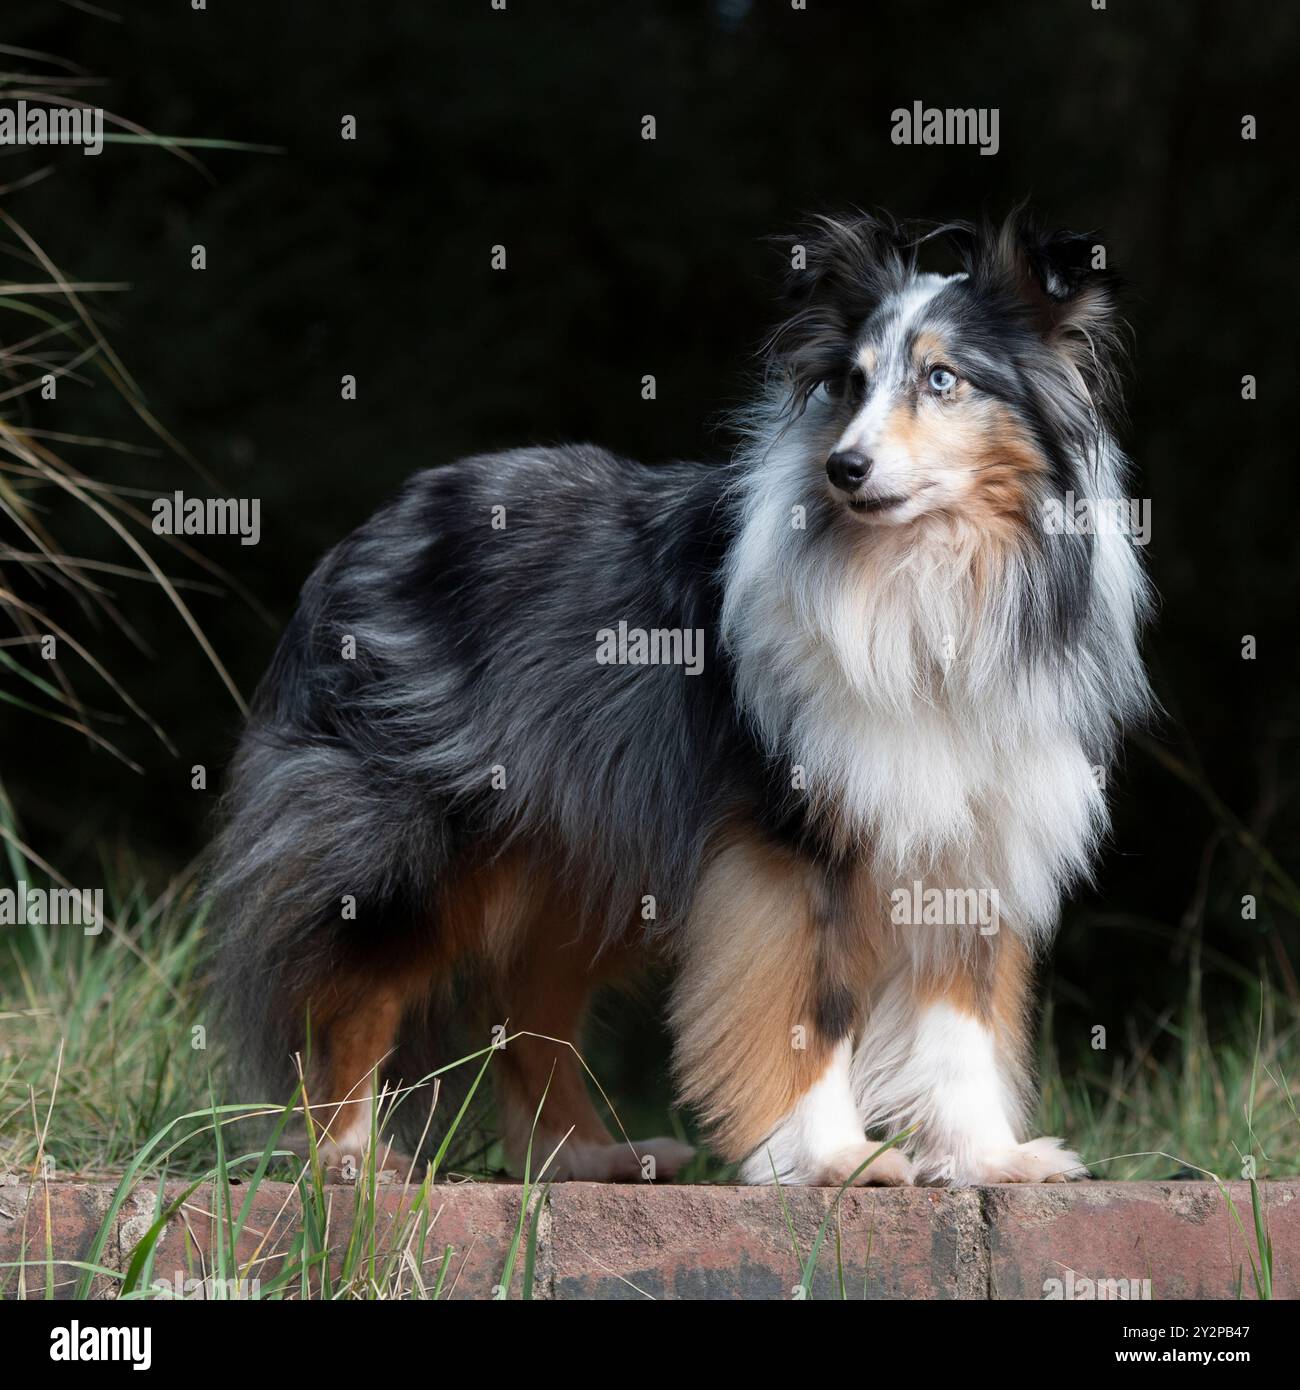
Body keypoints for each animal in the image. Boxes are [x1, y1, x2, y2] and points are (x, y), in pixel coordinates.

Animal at [208, 208, 1151, 1184]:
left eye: (941, 379)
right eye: (850, 383)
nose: (845, 468)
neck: (927, 572)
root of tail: (366, 532)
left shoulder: (977, 836)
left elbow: (961, 1027)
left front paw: (990, 1159)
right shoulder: (792, 843)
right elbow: (812, 1008)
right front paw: (833, 1158)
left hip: (576, 845)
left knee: (529, 1004)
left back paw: (586, 1157)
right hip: (418, 835)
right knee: (356, 988)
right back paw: (348, 1160)